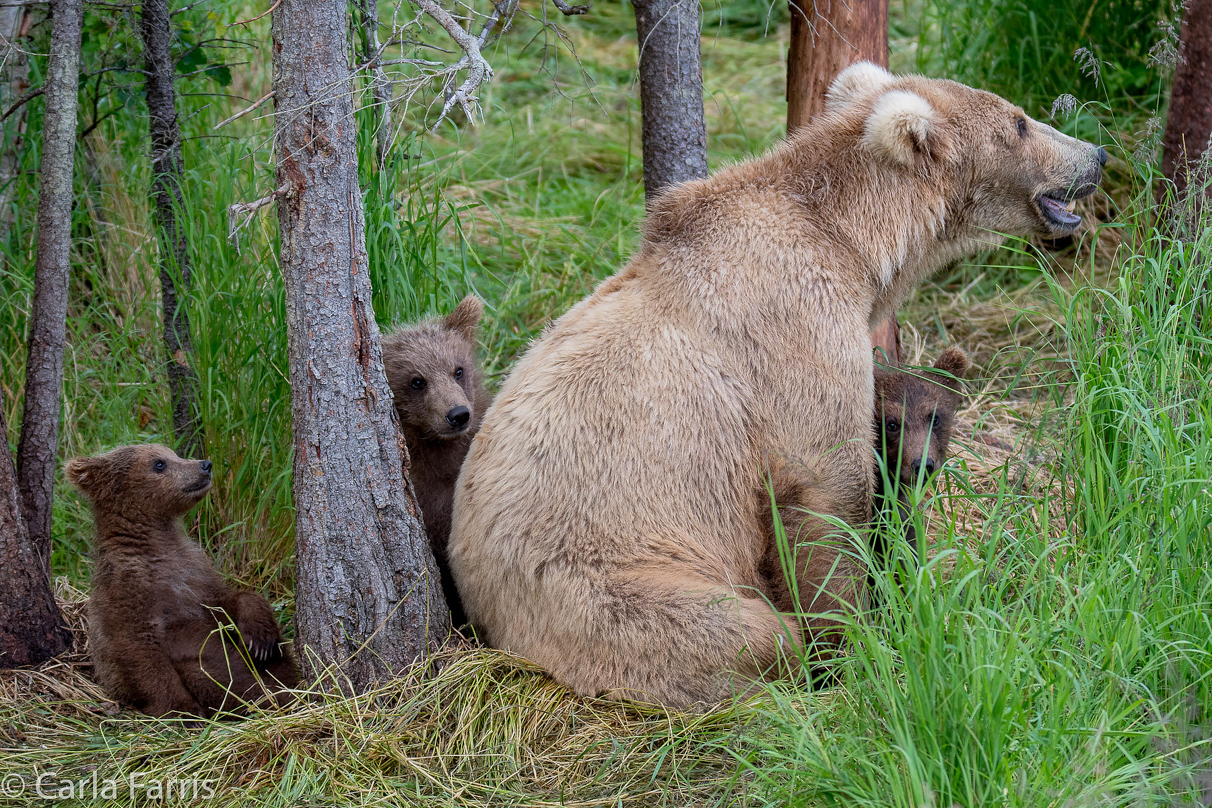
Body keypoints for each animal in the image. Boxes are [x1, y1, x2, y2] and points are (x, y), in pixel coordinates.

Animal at [448, 63, 1110, 707]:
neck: (851, 239)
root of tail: (490, 625)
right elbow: (826, 492)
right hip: (614, 591)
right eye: (1019, 121)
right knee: (740, 631)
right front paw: (852, 641)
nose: (1097, 154)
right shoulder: (795, 329)